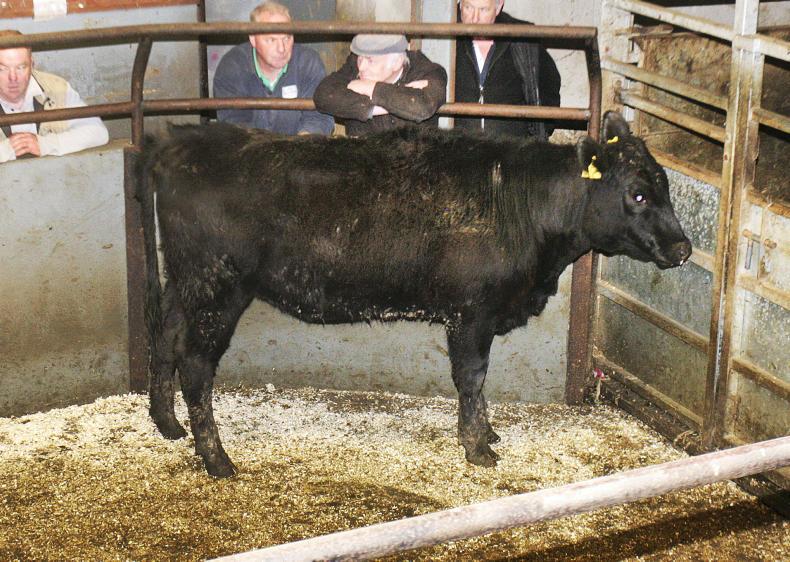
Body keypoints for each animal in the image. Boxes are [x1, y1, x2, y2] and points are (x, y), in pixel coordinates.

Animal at [137, 112, 691, 477]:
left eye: (665, 186)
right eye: (638, 193)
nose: (683, 247)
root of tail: (179, 142)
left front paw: (487, 432)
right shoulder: (472, 313)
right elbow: (472, 377)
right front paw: (479, 447)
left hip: (185, 283)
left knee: (164, 336)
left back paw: (167, 424)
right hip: (218, 287)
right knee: (196, 363)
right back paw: (216, 458)